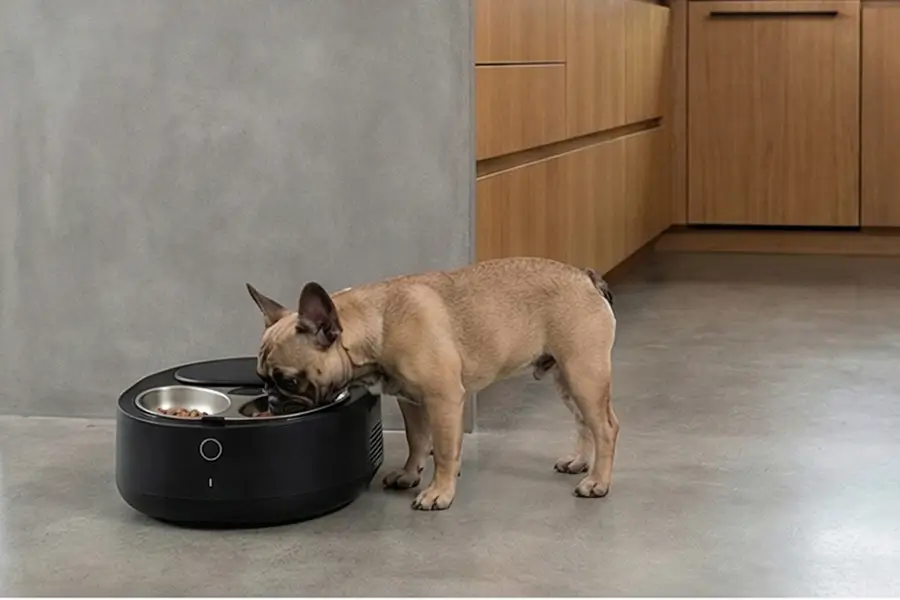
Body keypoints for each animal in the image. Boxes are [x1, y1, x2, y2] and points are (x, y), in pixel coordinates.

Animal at [246, 256, 618, 511]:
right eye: (261, 379)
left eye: (289, 380)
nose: (272, 400)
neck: (379, 323)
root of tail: (585, 277)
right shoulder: (410, 400)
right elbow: (417, 440)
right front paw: (410, 474)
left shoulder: (444, 399)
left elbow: (444, 449)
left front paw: (439, 491)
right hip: (566, 377)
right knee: (584, 422)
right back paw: (579, 463)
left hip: (584, 373)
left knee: (606, 427)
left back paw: (597, 482)